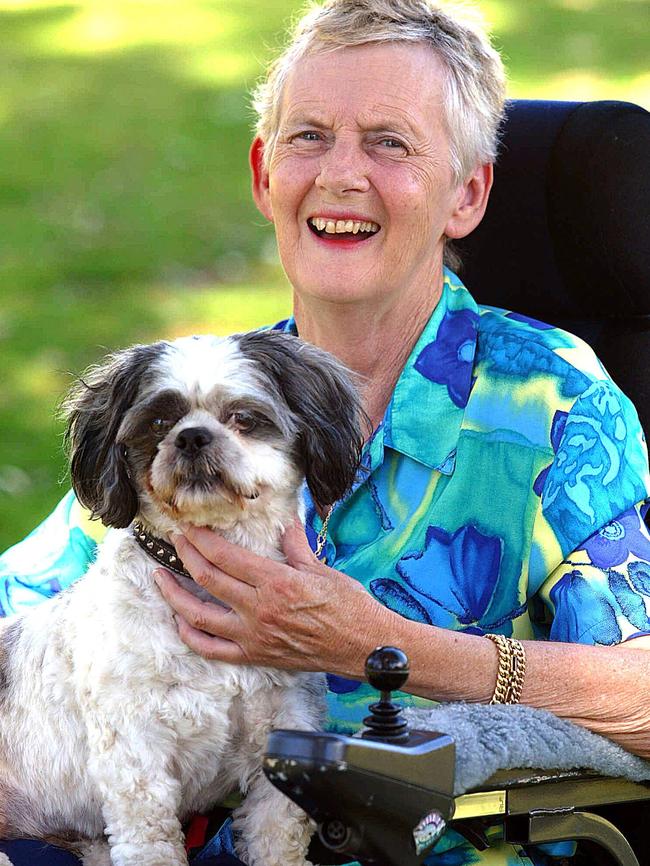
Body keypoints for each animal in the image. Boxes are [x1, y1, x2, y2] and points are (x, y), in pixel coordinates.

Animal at [0, 328, 362, 860]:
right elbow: (151, 841)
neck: (204, 587)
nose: (192, 436)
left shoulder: (286, 738)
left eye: (244, 418)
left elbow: (277, 837)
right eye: (159, 422)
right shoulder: (136, 760)